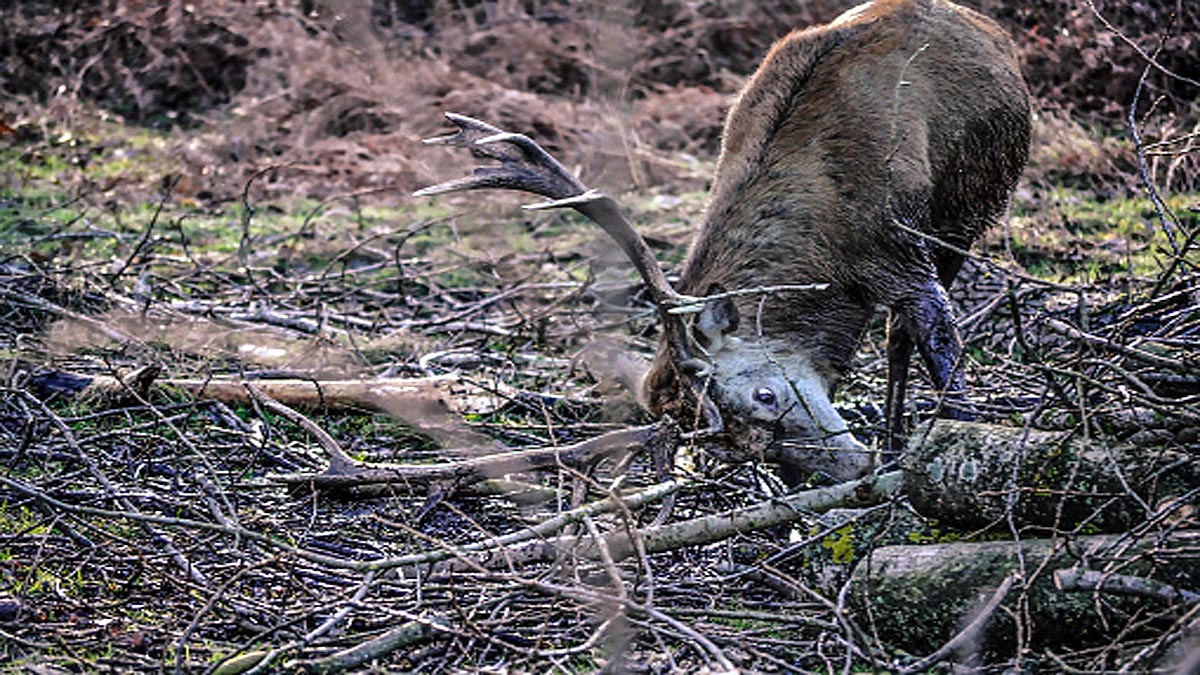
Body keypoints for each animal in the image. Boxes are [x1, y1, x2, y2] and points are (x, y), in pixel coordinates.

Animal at [415, 0, 1030, 483]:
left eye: (766, 394)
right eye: (746, 450)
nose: (854, 467)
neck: (834, 245)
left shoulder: (905, 251)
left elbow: (940, 351)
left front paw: (960, 445)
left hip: (970, 211)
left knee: (901, 333)